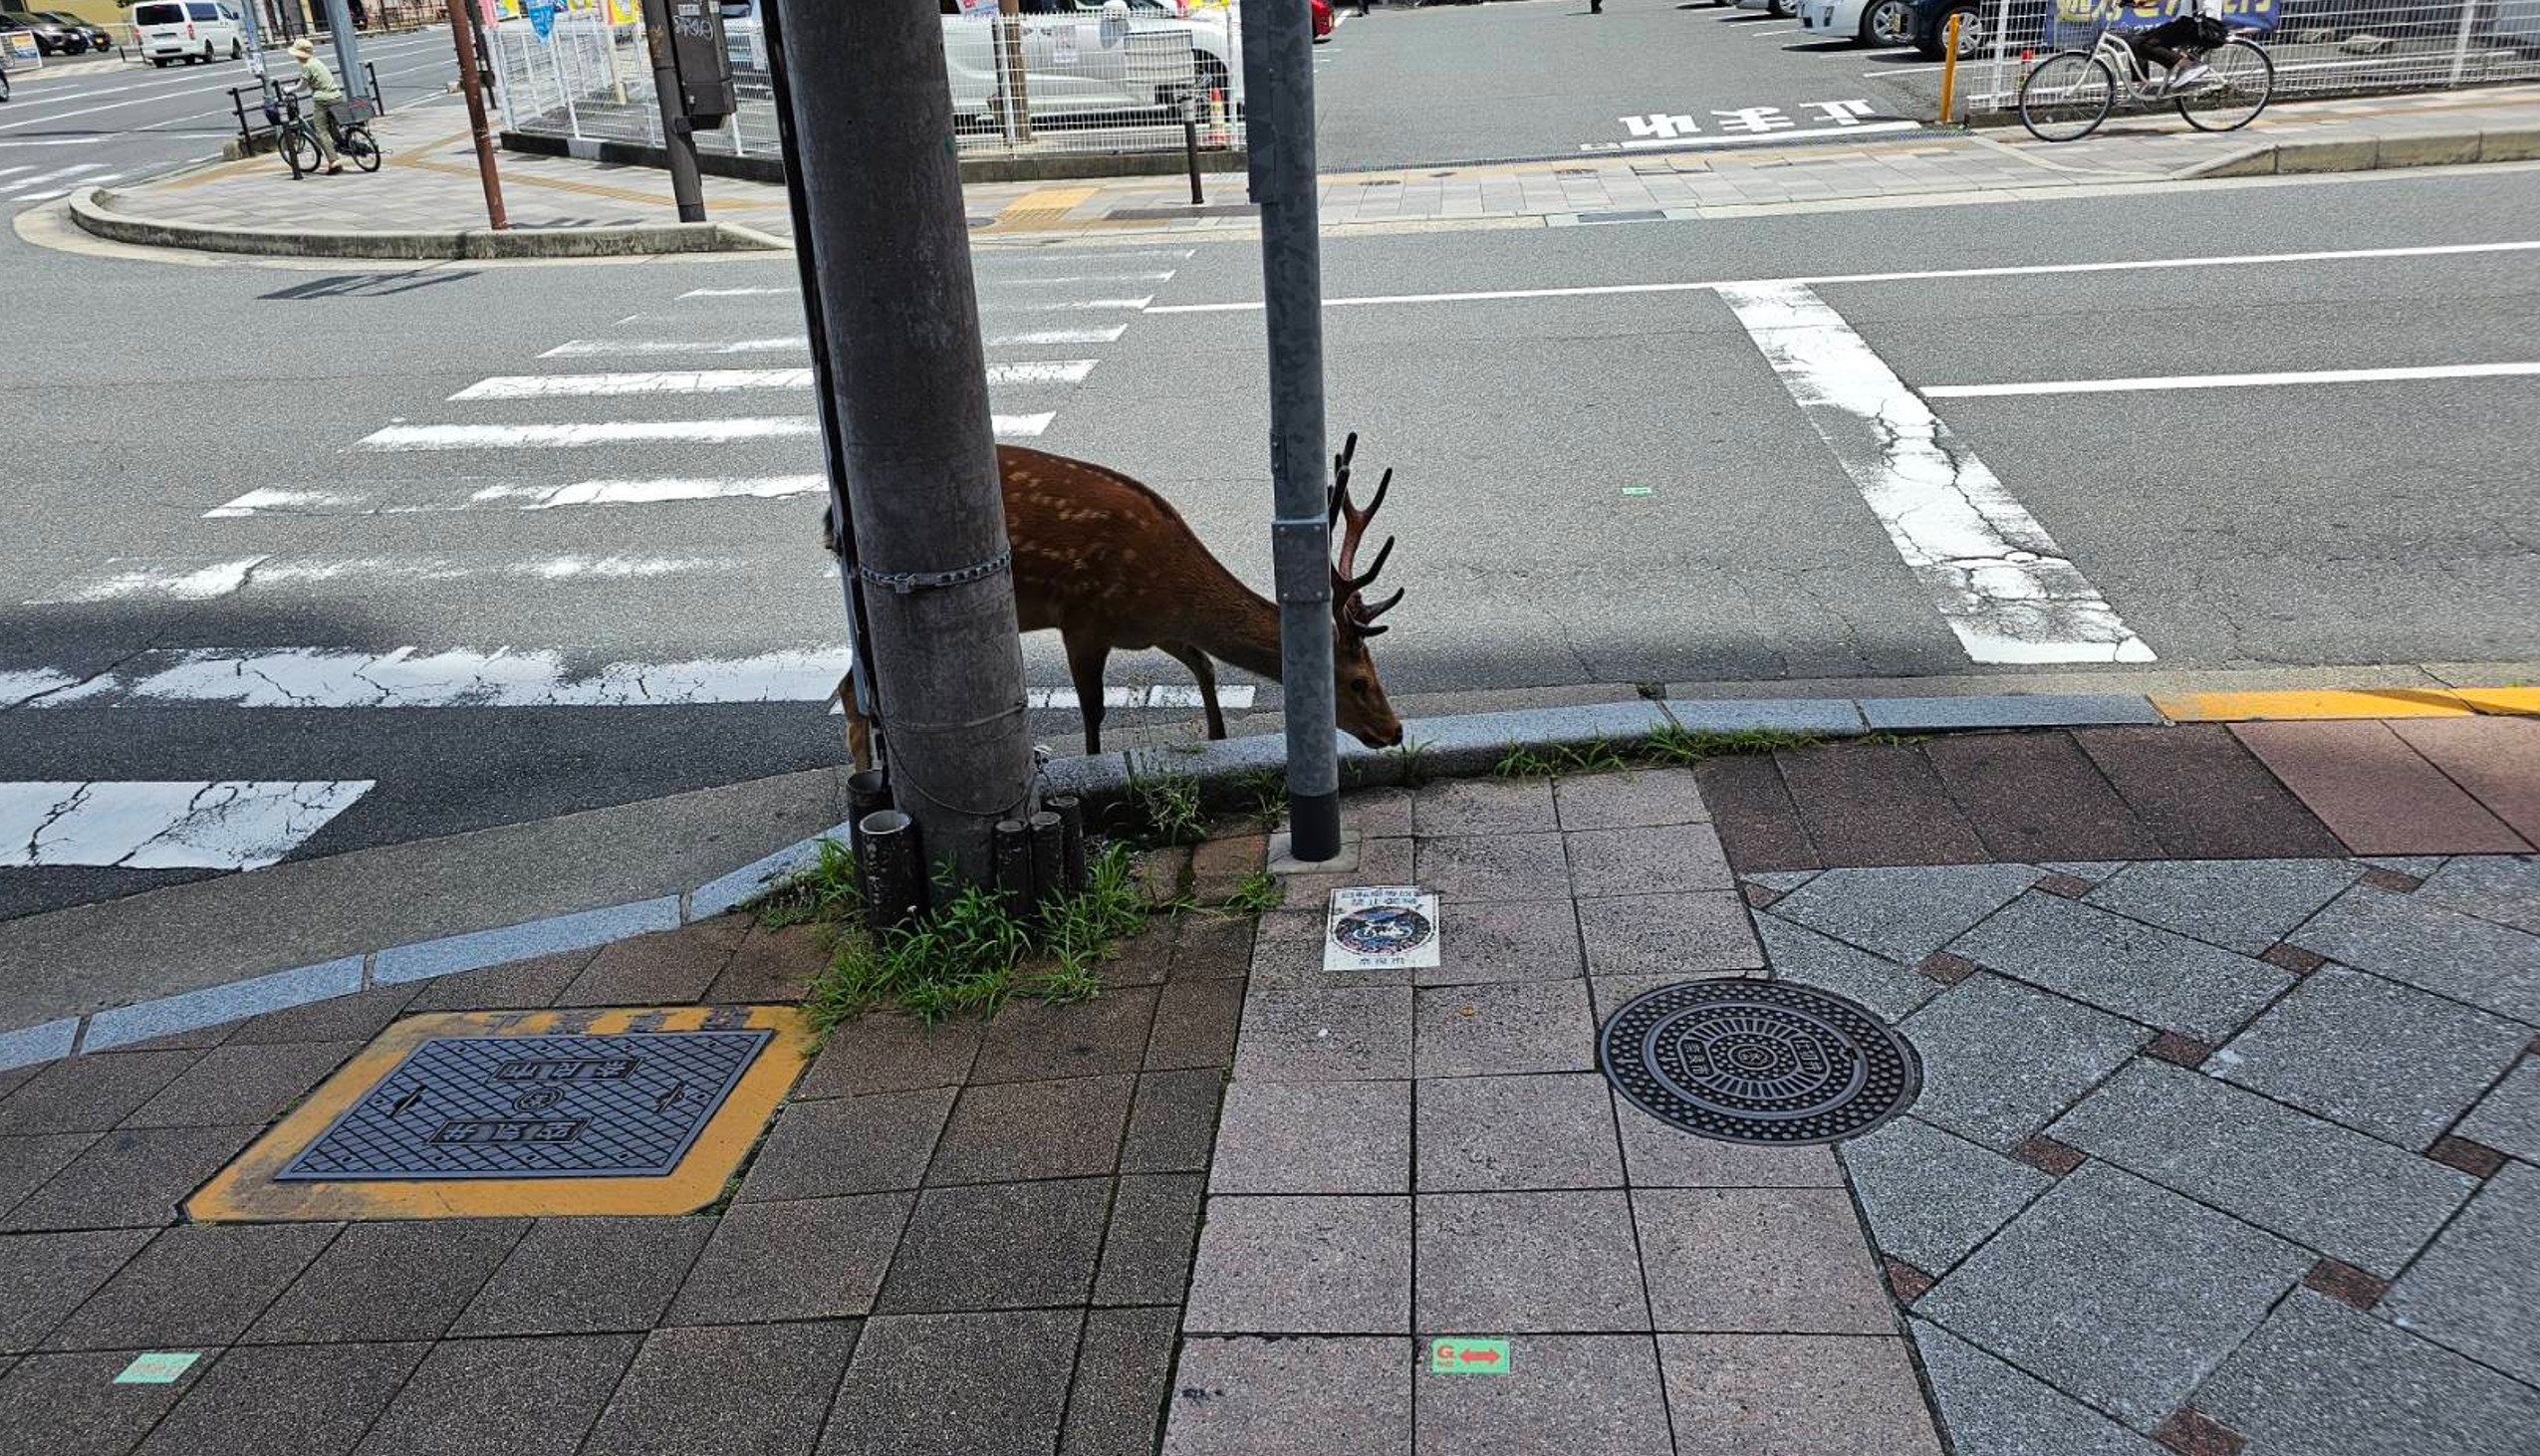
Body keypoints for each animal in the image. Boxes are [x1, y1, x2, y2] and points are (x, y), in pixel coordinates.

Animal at [830, 435, 1406, 768]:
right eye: (1360, 682)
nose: (1396, 729)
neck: (1167, 587)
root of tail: (829, 518)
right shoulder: (1084, 618)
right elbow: (1093, 709)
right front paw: (1090, 765)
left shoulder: (1154, 629)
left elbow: (1205, 666)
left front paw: (1219, 739)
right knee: (852, 691)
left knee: (852, 688)